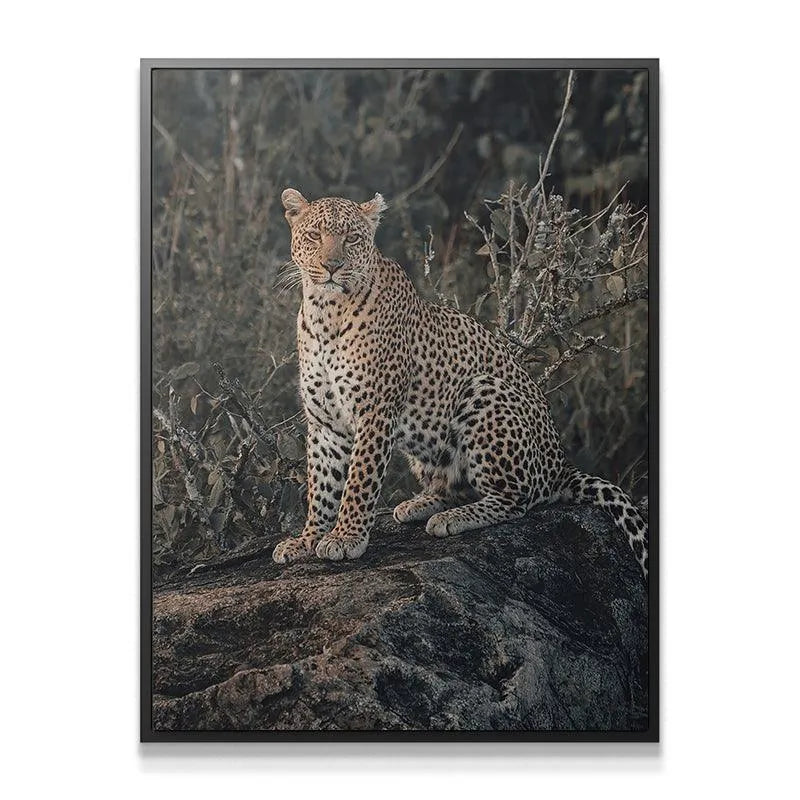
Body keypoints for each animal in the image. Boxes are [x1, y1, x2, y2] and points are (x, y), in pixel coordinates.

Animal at [271, 189, 649, 580]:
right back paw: (419, 505)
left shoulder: (375, 412)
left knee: (518, 498)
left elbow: (360, 479)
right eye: (314, 235)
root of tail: (562, 466)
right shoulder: (325, 422)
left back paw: (450, 519)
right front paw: (307, 538)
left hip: (483, 391)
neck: (325, 312)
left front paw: (346, 537)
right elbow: (321, 485)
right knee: (459, 486)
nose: (332, 266)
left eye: (351, 239)